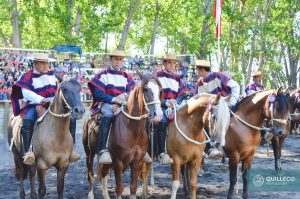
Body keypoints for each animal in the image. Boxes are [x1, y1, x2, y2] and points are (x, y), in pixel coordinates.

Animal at [82, 70, 163, 198]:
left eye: (159, 90)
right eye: (146, 89)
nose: (158, 115)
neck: (132, 130)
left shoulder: (137, 162)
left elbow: (133, 187)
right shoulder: (118, 162)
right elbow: (119, 188)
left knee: (104, 172)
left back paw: (106, 195)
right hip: (89, 153)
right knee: (90, 173)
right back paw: (90, 195)